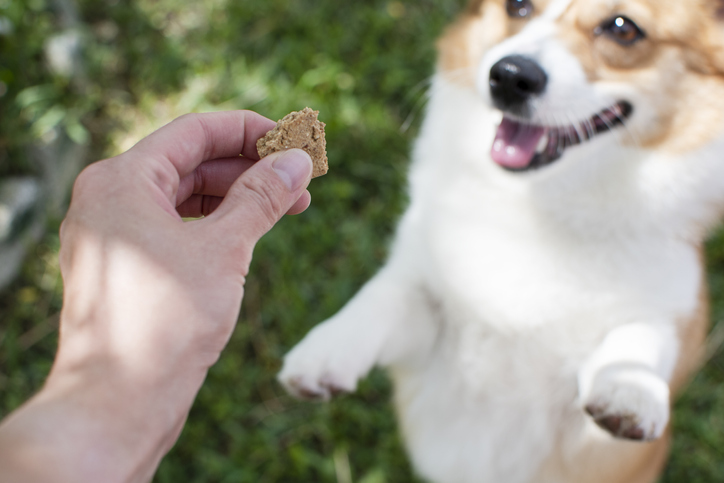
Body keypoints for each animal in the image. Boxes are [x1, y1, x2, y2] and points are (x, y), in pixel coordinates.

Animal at [276, 0, 724, 483]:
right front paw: (323, 351)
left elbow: (642, 336)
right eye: (517, 6)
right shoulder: (430, 327)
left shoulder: (671, 312)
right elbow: (386, 296)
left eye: (623, 28)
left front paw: (630, 389)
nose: (509, 75)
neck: (537, 207)